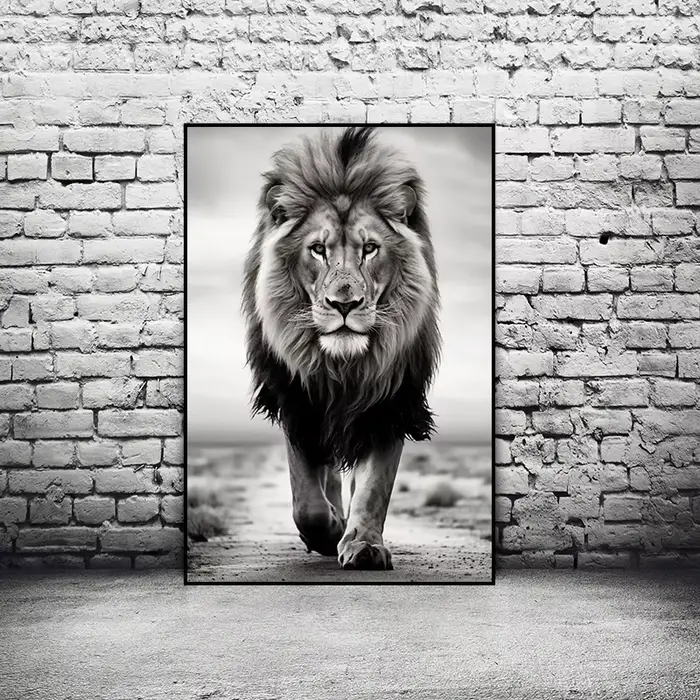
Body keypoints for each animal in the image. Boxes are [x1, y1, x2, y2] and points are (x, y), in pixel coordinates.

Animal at [241, 126, 441, 570]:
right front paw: (328, 530)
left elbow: (374, 487)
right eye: (318, 249)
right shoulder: (297, 398)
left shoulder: (390, 401)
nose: (344, 305)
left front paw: (363, 544)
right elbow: (306, 499)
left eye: (369, 249)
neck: (344, 368)